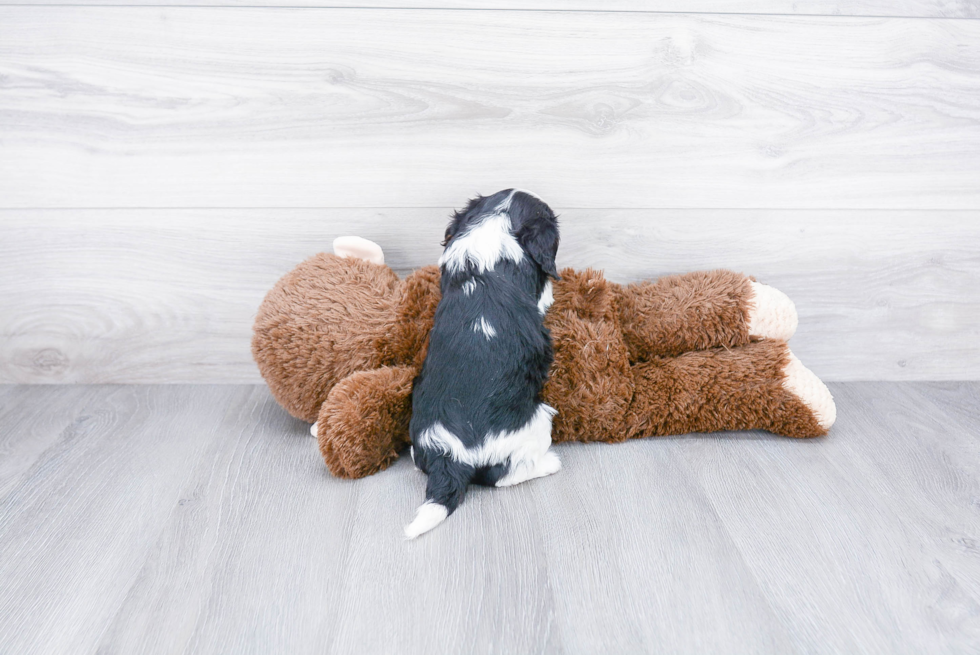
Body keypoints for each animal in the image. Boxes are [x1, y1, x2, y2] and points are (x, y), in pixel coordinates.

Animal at [404, 188, 560, 540]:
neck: (496, 223)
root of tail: (451, 455)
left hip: (420, 440)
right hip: (538, 421)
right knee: (502, 477)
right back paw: (551, 463)